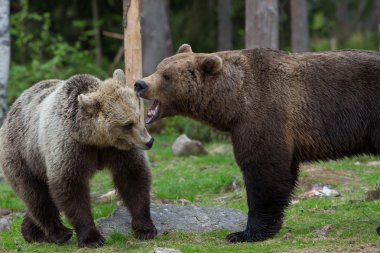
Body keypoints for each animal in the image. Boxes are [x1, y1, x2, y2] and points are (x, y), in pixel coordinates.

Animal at [0, 69, 157, 247]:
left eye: (138, 116)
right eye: (127, 124)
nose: (149, 141)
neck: (95, 139)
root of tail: (11, 110)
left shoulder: (118, 150)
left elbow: (133, 177)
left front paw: (145, 228)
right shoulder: (70, 147)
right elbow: (70, 186)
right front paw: (92, 238)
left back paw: (32, 232)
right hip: (23, 155)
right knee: (36, 194)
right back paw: (60, 233)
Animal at [136, 45, 380, 243]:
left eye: (166, 76)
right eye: (159, 68)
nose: (140, 83)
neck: (234, 102)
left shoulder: (265, 115)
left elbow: (264, 171)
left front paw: (244, 233)